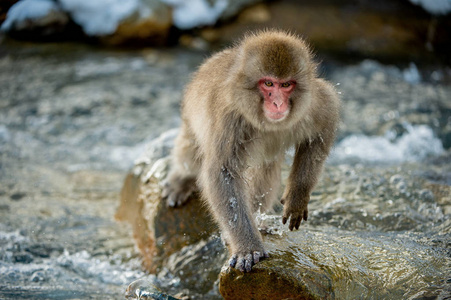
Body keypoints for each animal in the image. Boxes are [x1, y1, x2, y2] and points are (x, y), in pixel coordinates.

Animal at [162, 29, 340, 272]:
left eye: (286, 85)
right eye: (269, 84)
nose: (278, 104)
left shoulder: (315, 103)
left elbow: (321, 133)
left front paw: (297, 195)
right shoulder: (230, 119)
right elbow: (223, 172)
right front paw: (247, 247)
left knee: (266, 169)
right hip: (190, 116)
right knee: (190, 153)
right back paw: (181, 180)